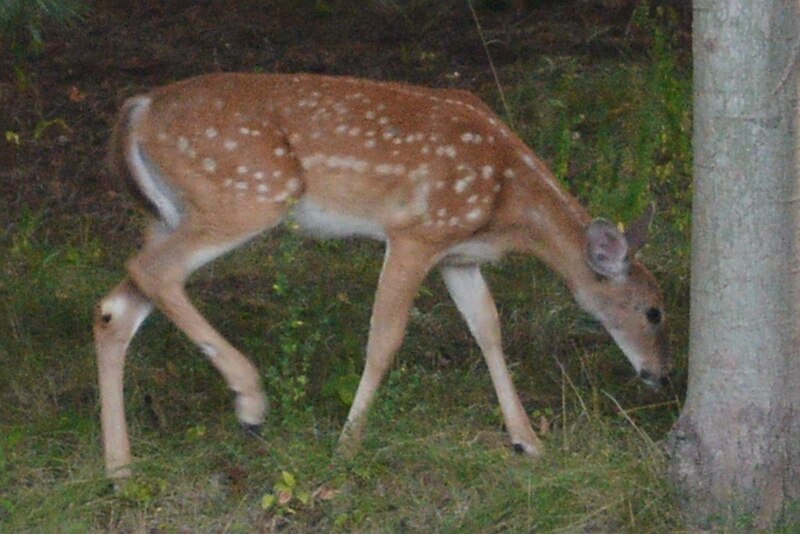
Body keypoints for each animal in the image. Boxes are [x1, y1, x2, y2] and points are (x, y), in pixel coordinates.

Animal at [94, 71, 668, 478]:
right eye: (653, 312)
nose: (660, 375)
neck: (508, 203)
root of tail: (138, 110)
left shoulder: (457, 255)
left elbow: (488, 329)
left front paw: (528, 440)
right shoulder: (415, 232)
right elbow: (385, 339)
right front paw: (347, 447)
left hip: (169, 212)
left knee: (115, 307)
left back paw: (120, 469)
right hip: (246, 193)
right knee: (152, 272)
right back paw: (250, 402)